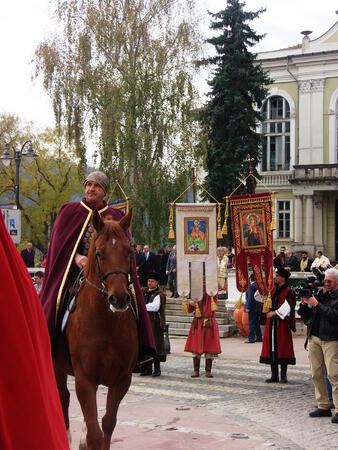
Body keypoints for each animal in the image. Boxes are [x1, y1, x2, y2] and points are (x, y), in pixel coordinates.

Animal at [53, 210, 138, 450]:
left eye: (128, 251)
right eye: (99, 253)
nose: (119, 298)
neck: (105, 324)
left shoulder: (122, 379)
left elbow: (107, 424)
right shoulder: (84, 379)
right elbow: (94, 434)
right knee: (63, 398)